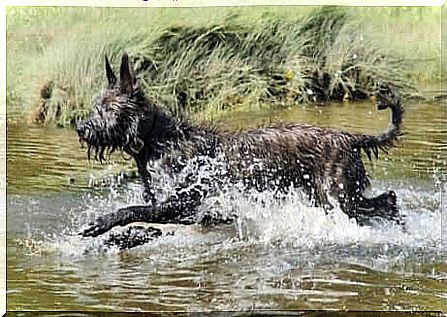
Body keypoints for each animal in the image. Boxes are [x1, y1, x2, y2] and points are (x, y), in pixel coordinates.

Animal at [77, 53, 406, 248]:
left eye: (108, 110)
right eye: (96, 107)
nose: (82, 128)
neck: (158, 140)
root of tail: (352, 138)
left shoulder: (183, 203)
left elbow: (132, 210)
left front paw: (100, 223)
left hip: (336, 196)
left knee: (381, 203)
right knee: (387, 200)